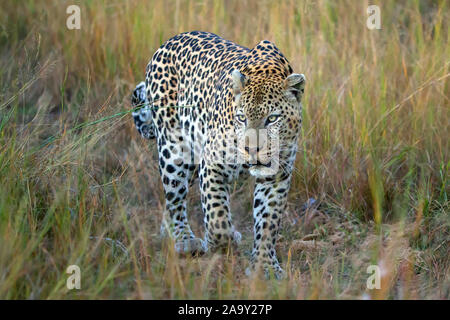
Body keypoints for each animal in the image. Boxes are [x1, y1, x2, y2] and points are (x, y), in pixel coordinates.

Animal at [131, 31, 306, 278]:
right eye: (242, 117)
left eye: (272, 119)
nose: (252, 150)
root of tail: (166, 43)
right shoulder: (212, 164)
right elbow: (216, 216)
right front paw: (222, 241)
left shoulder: (276, 176)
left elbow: (268, 220)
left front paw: (265, 267)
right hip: (175, 150)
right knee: (175, 198)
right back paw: (185, 240)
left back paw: (169, 233)